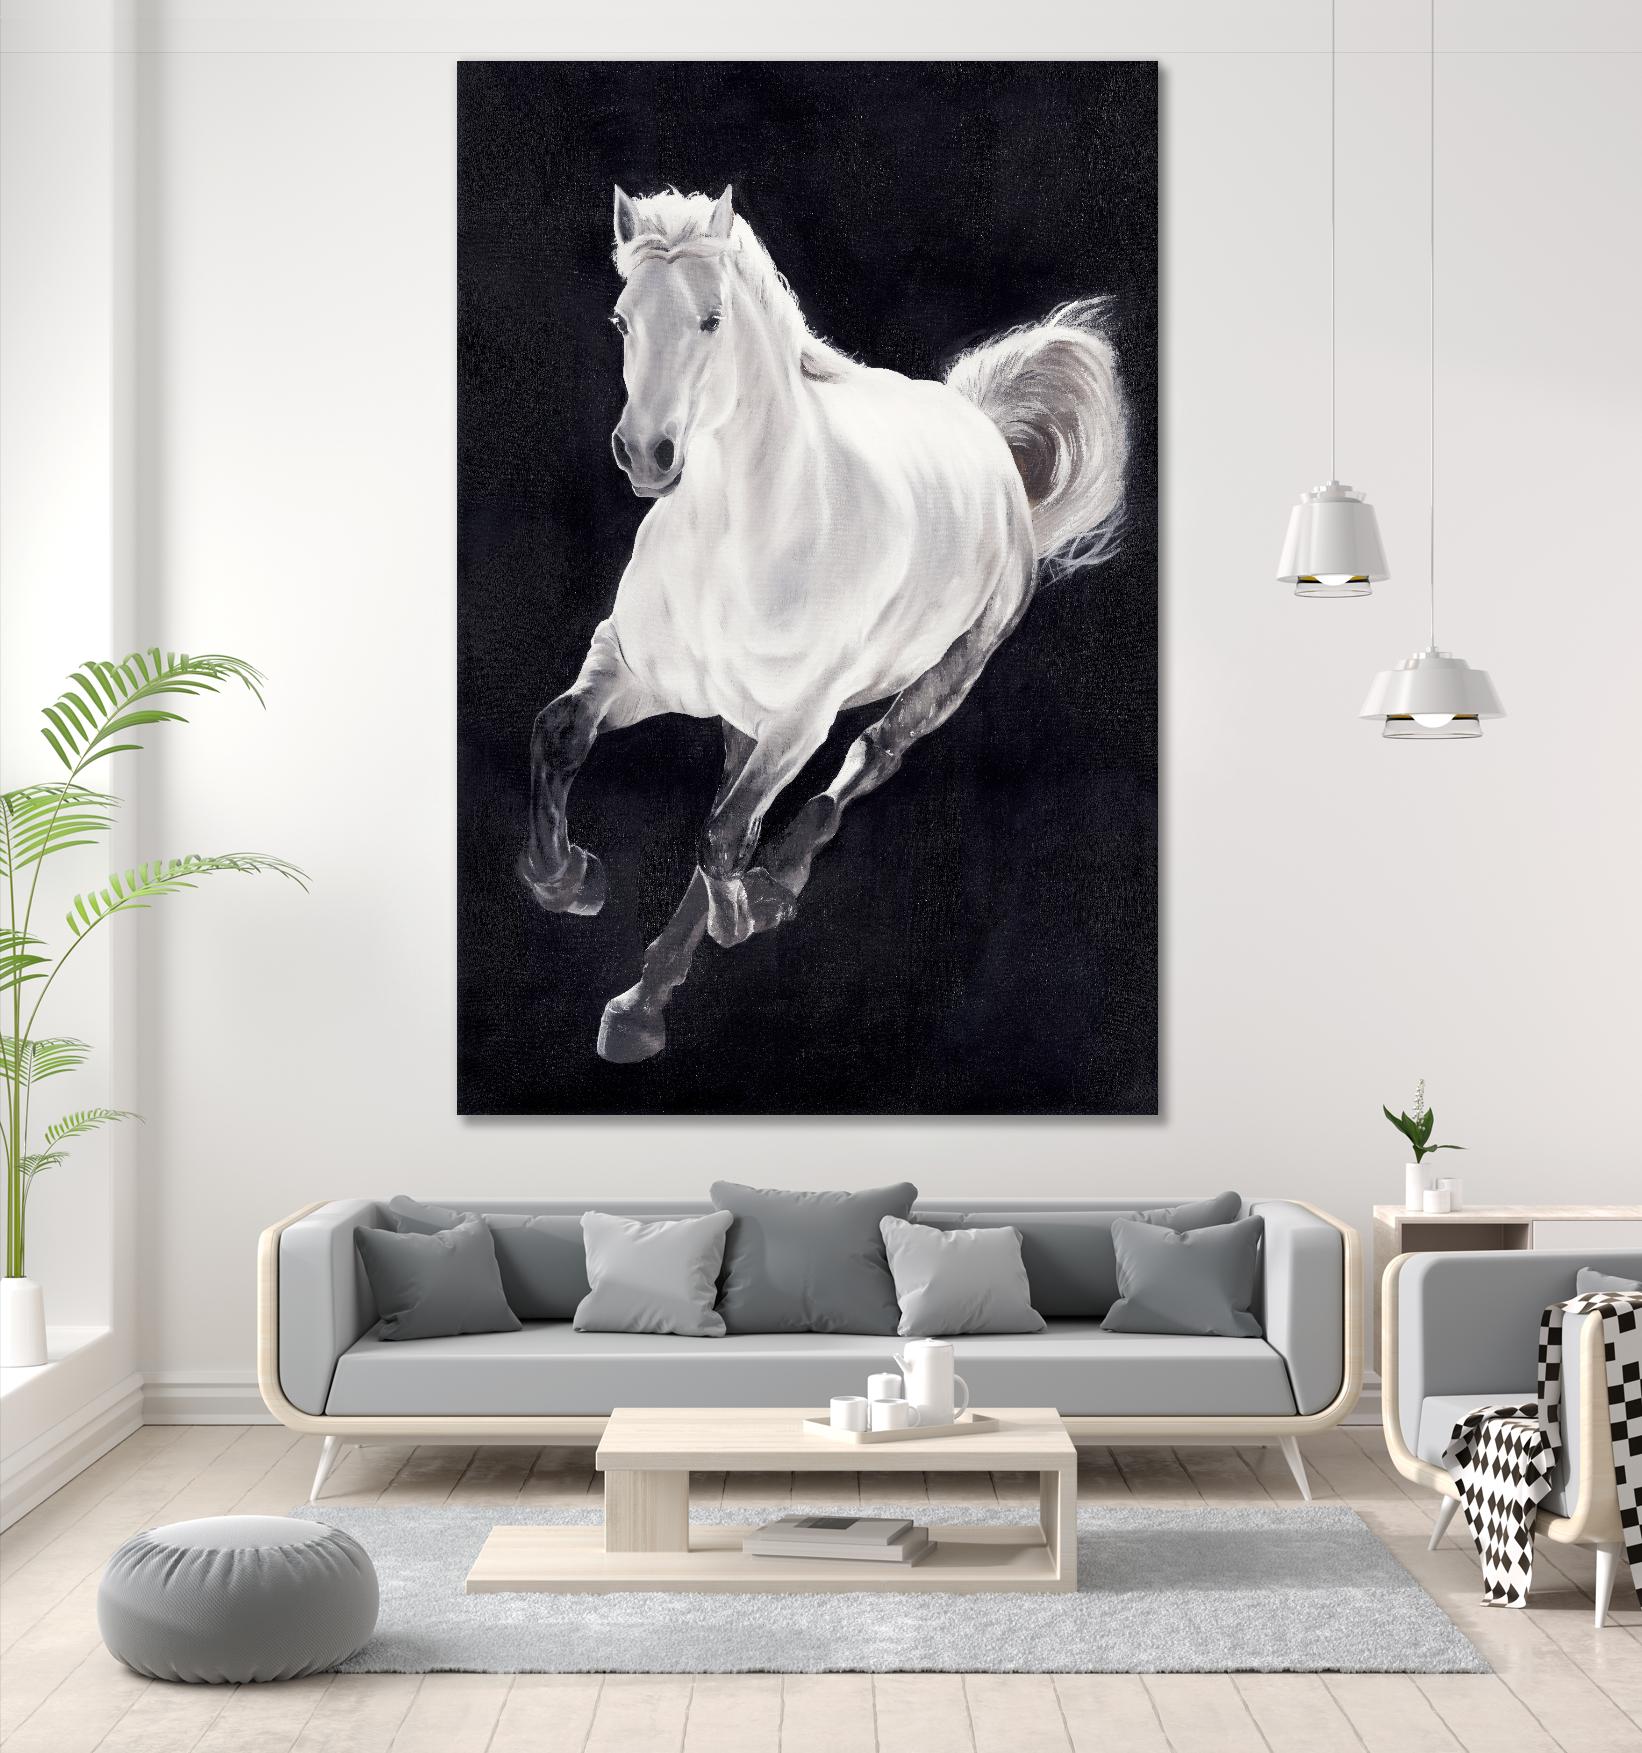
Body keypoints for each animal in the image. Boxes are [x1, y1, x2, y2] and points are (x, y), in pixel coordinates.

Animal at [518, 184, 1129, 1063]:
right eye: (622, 319)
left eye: (711, 318)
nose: (646, 454)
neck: (735, 545)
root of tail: (981, 427)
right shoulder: (631, 667)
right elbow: (563, 734)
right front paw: (571, 882)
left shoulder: (801, 721)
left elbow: (722, 837)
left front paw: (746, 914)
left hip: (952, 668)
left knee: (869, 756)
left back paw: (770, 886)